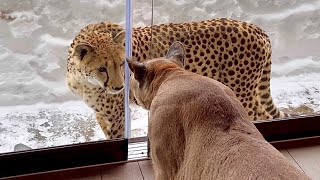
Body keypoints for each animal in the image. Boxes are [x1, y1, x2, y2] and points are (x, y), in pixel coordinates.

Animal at [67, 18, 284, 139]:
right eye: (102, 68)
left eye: (121, 64)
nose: (119, 87)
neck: (85, 82)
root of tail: (254, 27)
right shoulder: (102, 115)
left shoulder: (117, 117)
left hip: (243, 94)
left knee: (262, 116)